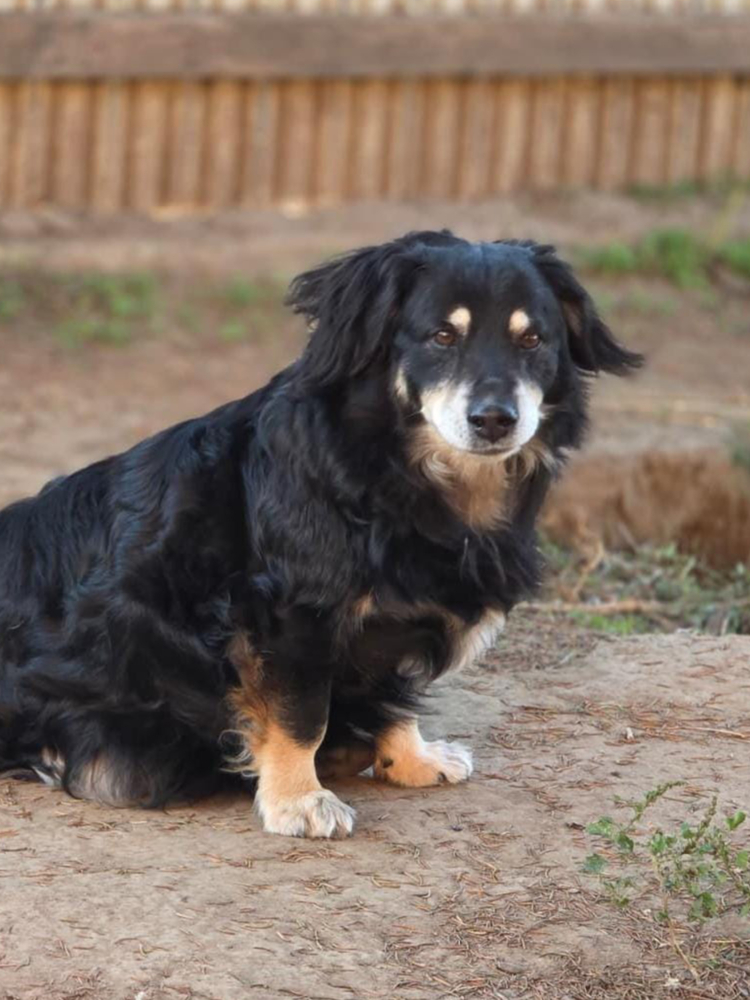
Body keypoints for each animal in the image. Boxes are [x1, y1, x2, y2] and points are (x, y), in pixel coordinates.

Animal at [0, 231, 642, 838]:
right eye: (441, 336)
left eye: (533, 341)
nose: (494, 420)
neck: (390, 472)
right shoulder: (288, 613)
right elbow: (300, 714)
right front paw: (297, 800)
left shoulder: (395, 617)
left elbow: (392, 694)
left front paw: (411, 760)